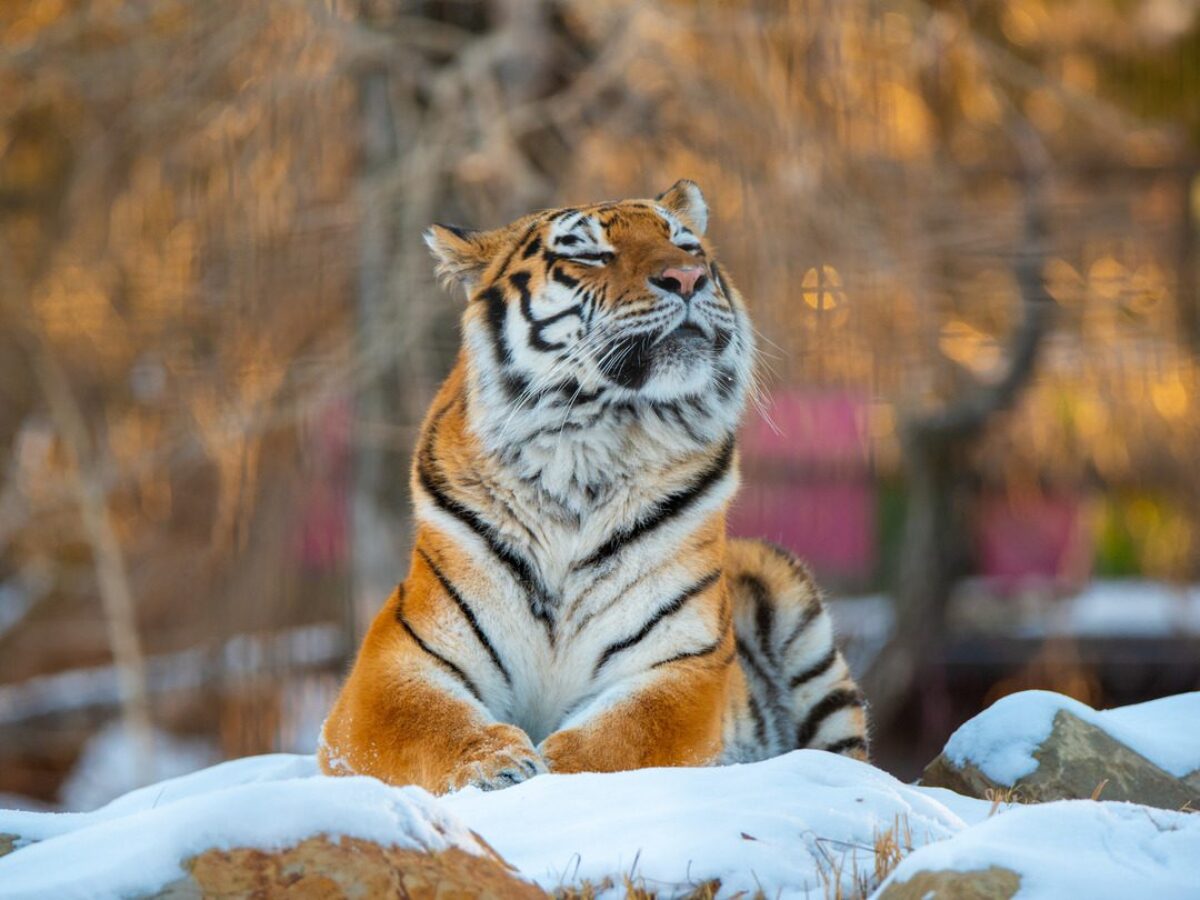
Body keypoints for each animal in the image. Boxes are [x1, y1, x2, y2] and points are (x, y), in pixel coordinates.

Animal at [316, 183, 864, 796]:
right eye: (589, 254)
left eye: (686, 245)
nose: (688, 277)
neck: (584, 451)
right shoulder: (393, 662)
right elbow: (429, 722)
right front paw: (496, 766)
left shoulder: (682, 663)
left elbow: (619, 739)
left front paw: (555, 776)